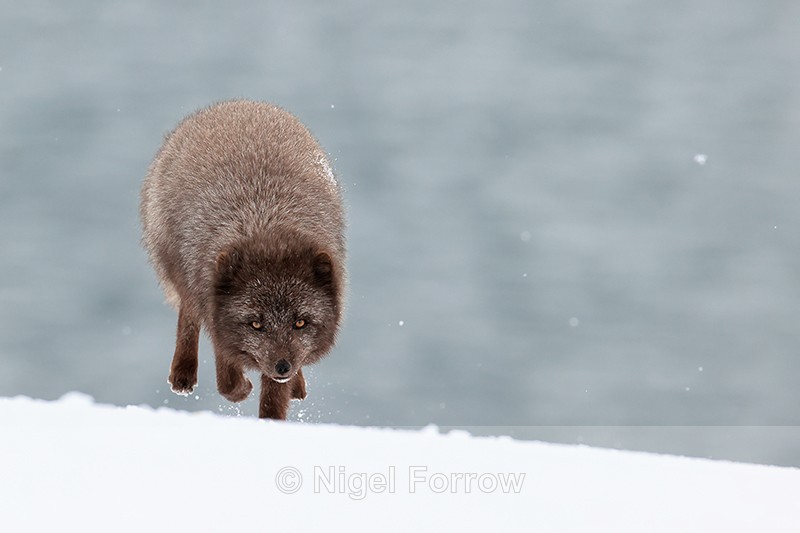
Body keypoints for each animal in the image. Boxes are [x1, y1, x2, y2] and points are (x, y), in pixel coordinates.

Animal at [140, 100, 346, 419]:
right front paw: (241, 389)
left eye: (300, 323)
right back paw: (183, 375)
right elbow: (226, 374)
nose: (283, 367)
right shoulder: (214, 305)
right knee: (188, 314)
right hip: (184, 275)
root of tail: (236, 104)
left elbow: (273, 399)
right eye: (256, 324)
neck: (266, 224)